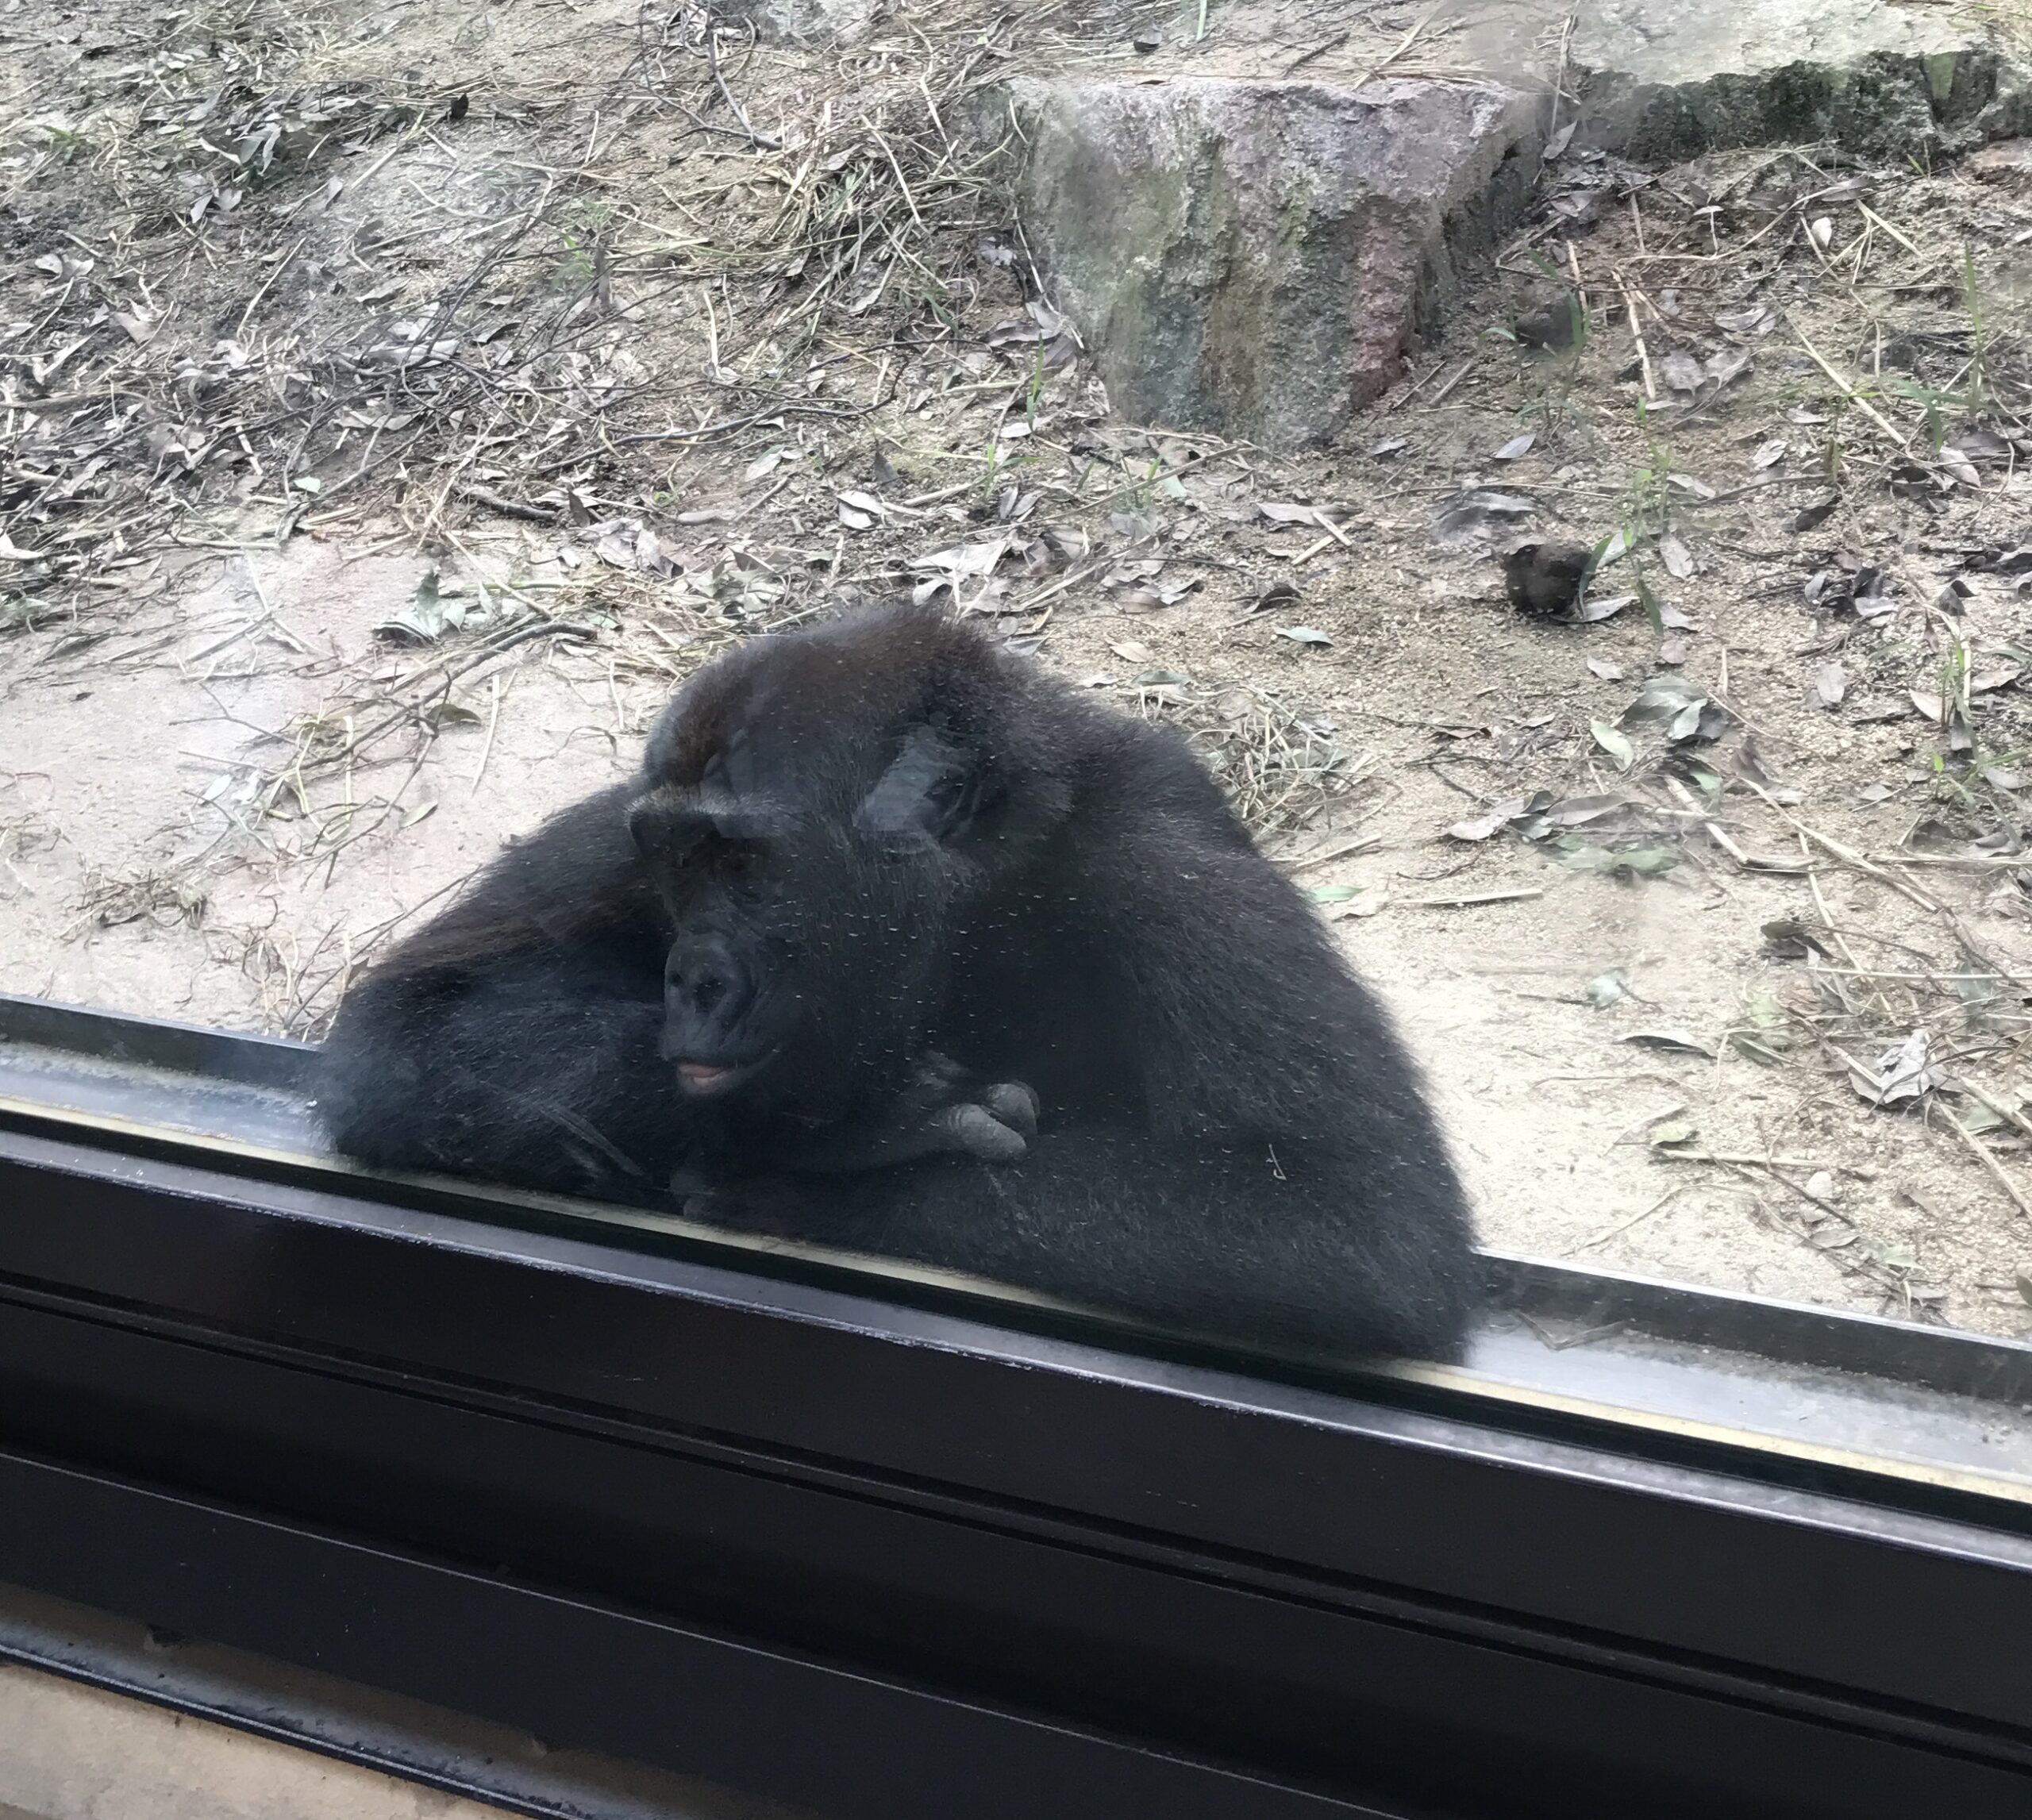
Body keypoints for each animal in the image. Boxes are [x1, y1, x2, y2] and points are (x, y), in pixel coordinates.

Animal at [317, 605, 1479, 1356]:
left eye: (747, 866)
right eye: (680, 863)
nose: (691, 979)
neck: (992, 877)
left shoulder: (1163, 858)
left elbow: (1341, 1210)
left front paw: (814, 1162)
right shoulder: (633, 806)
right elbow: (411, 1026)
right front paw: (846, 1117)